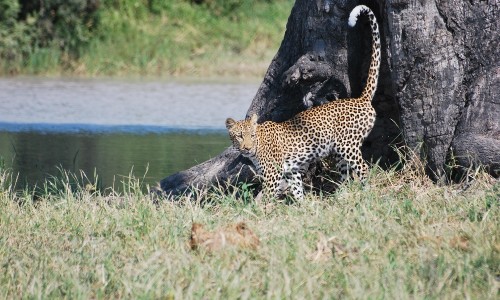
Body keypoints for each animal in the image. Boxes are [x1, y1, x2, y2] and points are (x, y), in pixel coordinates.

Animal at [225, 4, 380, 199]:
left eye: (251, 136)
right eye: (239, 136)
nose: (247, 148)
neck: (259, 143)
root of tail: (362, 99)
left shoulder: (273, 174)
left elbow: (266, 196)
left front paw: (260, 206)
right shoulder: (291, 171)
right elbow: (298, 190)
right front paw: (304, 204)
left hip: (348, 145)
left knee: (364, 168)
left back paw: (367, 194)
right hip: (339, 152)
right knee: (346, 174)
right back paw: (341, 196)